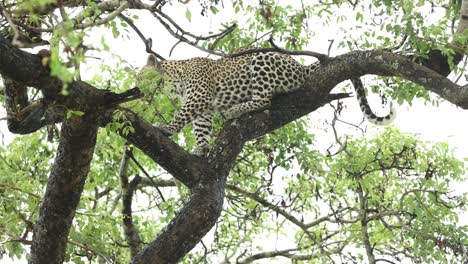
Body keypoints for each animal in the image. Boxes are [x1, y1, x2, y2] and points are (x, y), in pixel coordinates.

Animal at [137, 51, 394, 156]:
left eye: (140, 75)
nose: (135, 86)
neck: (175, 79)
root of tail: (299, 67)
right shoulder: (203, 109)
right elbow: (200, 129)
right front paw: (202, 149)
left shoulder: (198, 97)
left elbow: (181, 117)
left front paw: (166, 128)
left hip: (262, 59)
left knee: (264, 101)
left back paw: (234, 110)